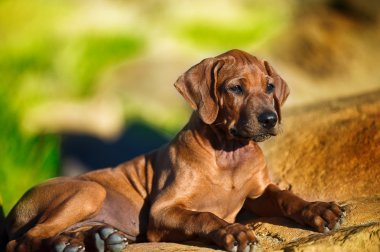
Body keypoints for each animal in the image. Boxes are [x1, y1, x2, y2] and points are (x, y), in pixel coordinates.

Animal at [4, 49, 344, 252]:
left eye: (270, 86)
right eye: (235, 88)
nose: (270, 119)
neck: (229, 154)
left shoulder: (259, 192)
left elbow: (287, 197)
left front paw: (318, 209)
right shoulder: (162, 211)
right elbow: (204, 216)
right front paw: (233, 232)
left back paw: (96, 240)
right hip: (89, 191)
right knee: (22, 241)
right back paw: (68, 242)